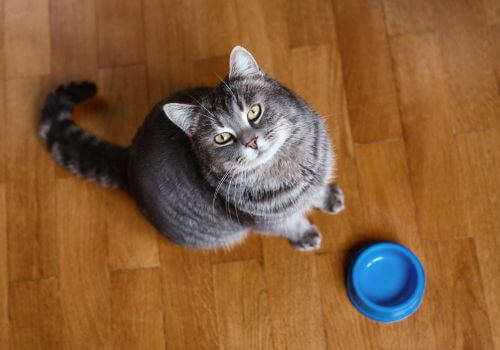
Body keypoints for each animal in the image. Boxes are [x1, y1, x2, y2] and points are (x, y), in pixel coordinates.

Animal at [39, 46, 344, 250]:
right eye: (222, 138)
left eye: (254, 112)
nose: (251, 141)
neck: (285, 167)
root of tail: (128, 156)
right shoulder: (266, 221)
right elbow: (290, 224)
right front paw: (304, 235)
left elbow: (316, 191)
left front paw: (326, 196)